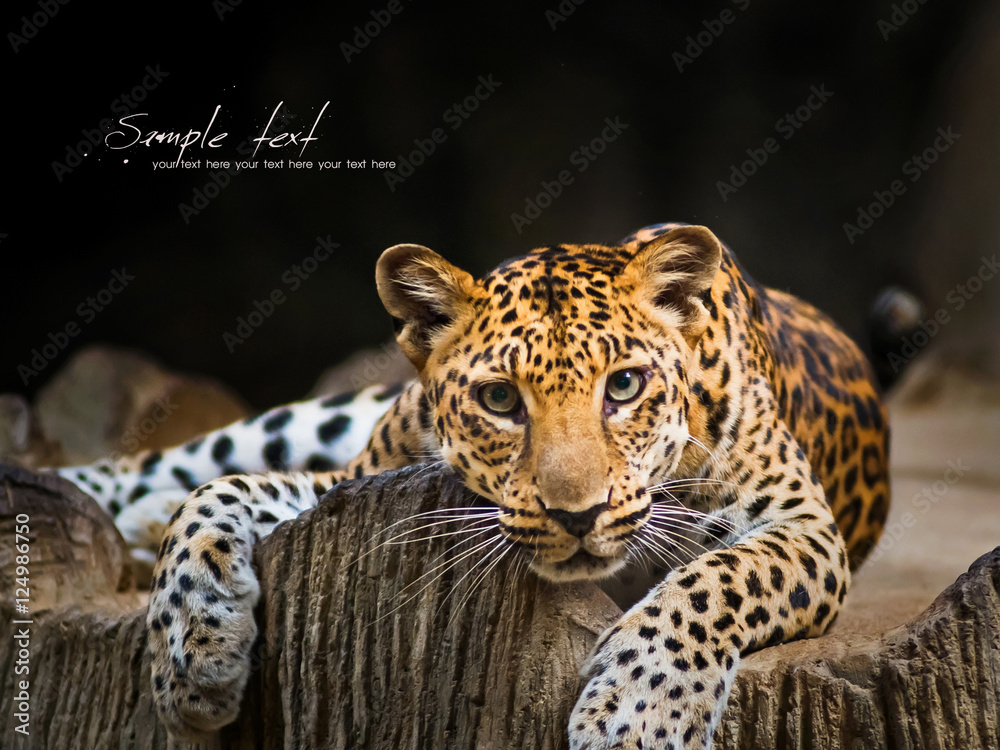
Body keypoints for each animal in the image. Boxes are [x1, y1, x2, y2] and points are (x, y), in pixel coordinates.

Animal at [55, 222, 891, 749]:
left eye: (624, 386)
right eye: (499, 400)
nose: (578, 515)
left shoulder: (803, 525)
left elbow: (714, 580)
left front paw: (636, 713)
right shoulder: (359, 484)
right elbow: (224, 489)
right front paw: (191, 655)